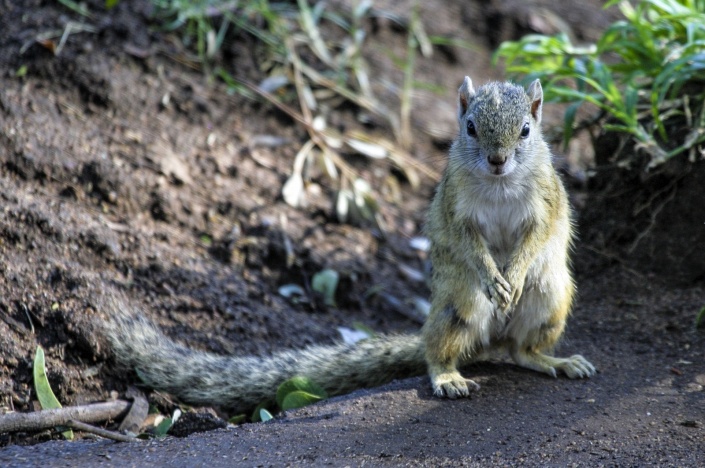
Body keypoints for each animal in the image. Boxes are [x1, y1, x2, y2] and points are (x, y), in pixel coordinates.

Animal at [102, 77, 595, 414]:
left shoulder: (546, 202)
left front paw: (513, 272)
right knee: (439, 352)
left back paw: (554, 360)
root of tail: (492, 337)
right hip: (459, 305)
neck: (498, 184)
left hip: (551, 298)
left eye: (527, 130)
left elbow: (538, 235)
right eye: (470, 127)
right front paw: (495, 277)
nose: (497, 160)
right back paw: (449, 375)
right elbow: (468, 242)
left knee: (520, 351)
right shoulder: (456, 207)